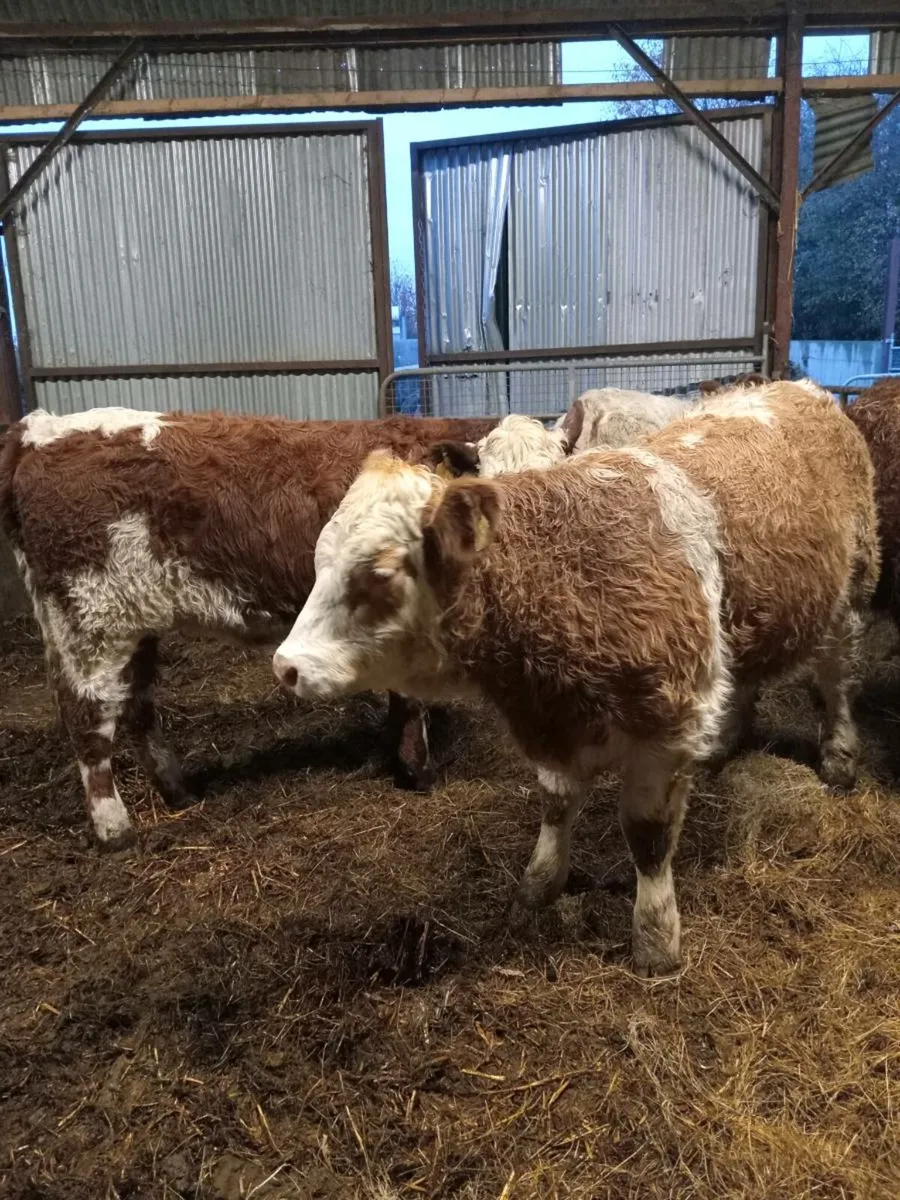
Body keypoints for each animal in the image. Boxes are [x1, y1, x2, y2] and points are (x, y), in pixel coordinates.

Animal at [0, 406, 497, 850]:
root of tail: (37, 432)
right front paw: (419, 772)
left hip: (132, 622)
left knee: (137, 706)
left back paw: (178, 791)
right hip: (89, 620)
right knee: (88, 719)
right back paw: (114, 830)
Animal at [272, 381, 878, 976]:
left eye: (378, 572)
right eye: (320, 559)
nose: (287, 666)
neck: (569, 574)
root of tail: (793, 387)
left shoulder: (665, 728)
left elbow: (648, 836)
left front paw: (656, 939)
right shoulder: (553, 722)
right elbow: (556, 807)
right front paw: (536, 892)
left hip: (850, 597)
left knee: (837, 681)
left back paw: (840, 758)